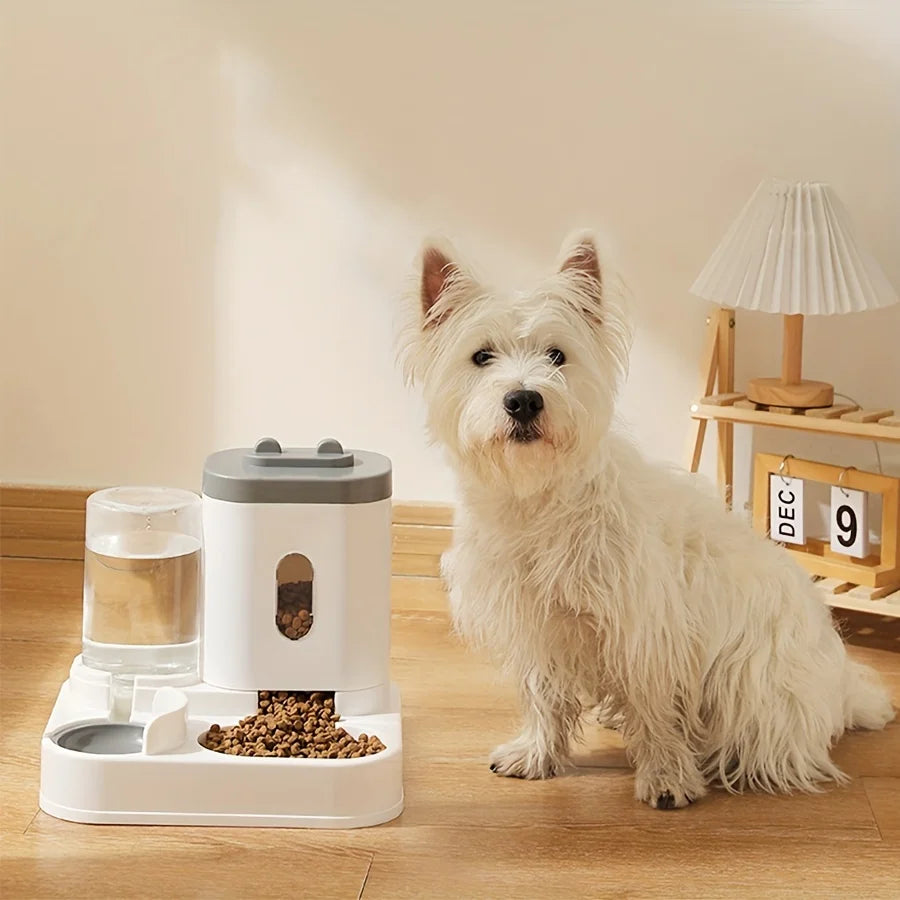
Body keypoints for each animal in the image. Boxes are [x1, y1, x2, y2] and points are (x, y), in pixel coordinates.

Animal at [400, 230, 892, 808]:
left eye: (557, 355)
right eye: (481, 356)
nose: (523, 400)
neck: (539, 500)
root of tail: (840, 691)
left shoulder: (645, 628)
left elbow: (655, 707)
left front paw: (666, 776)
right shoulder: (538, 624)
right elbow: (544, 694)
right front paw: (538, 754)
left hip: (755, 680)